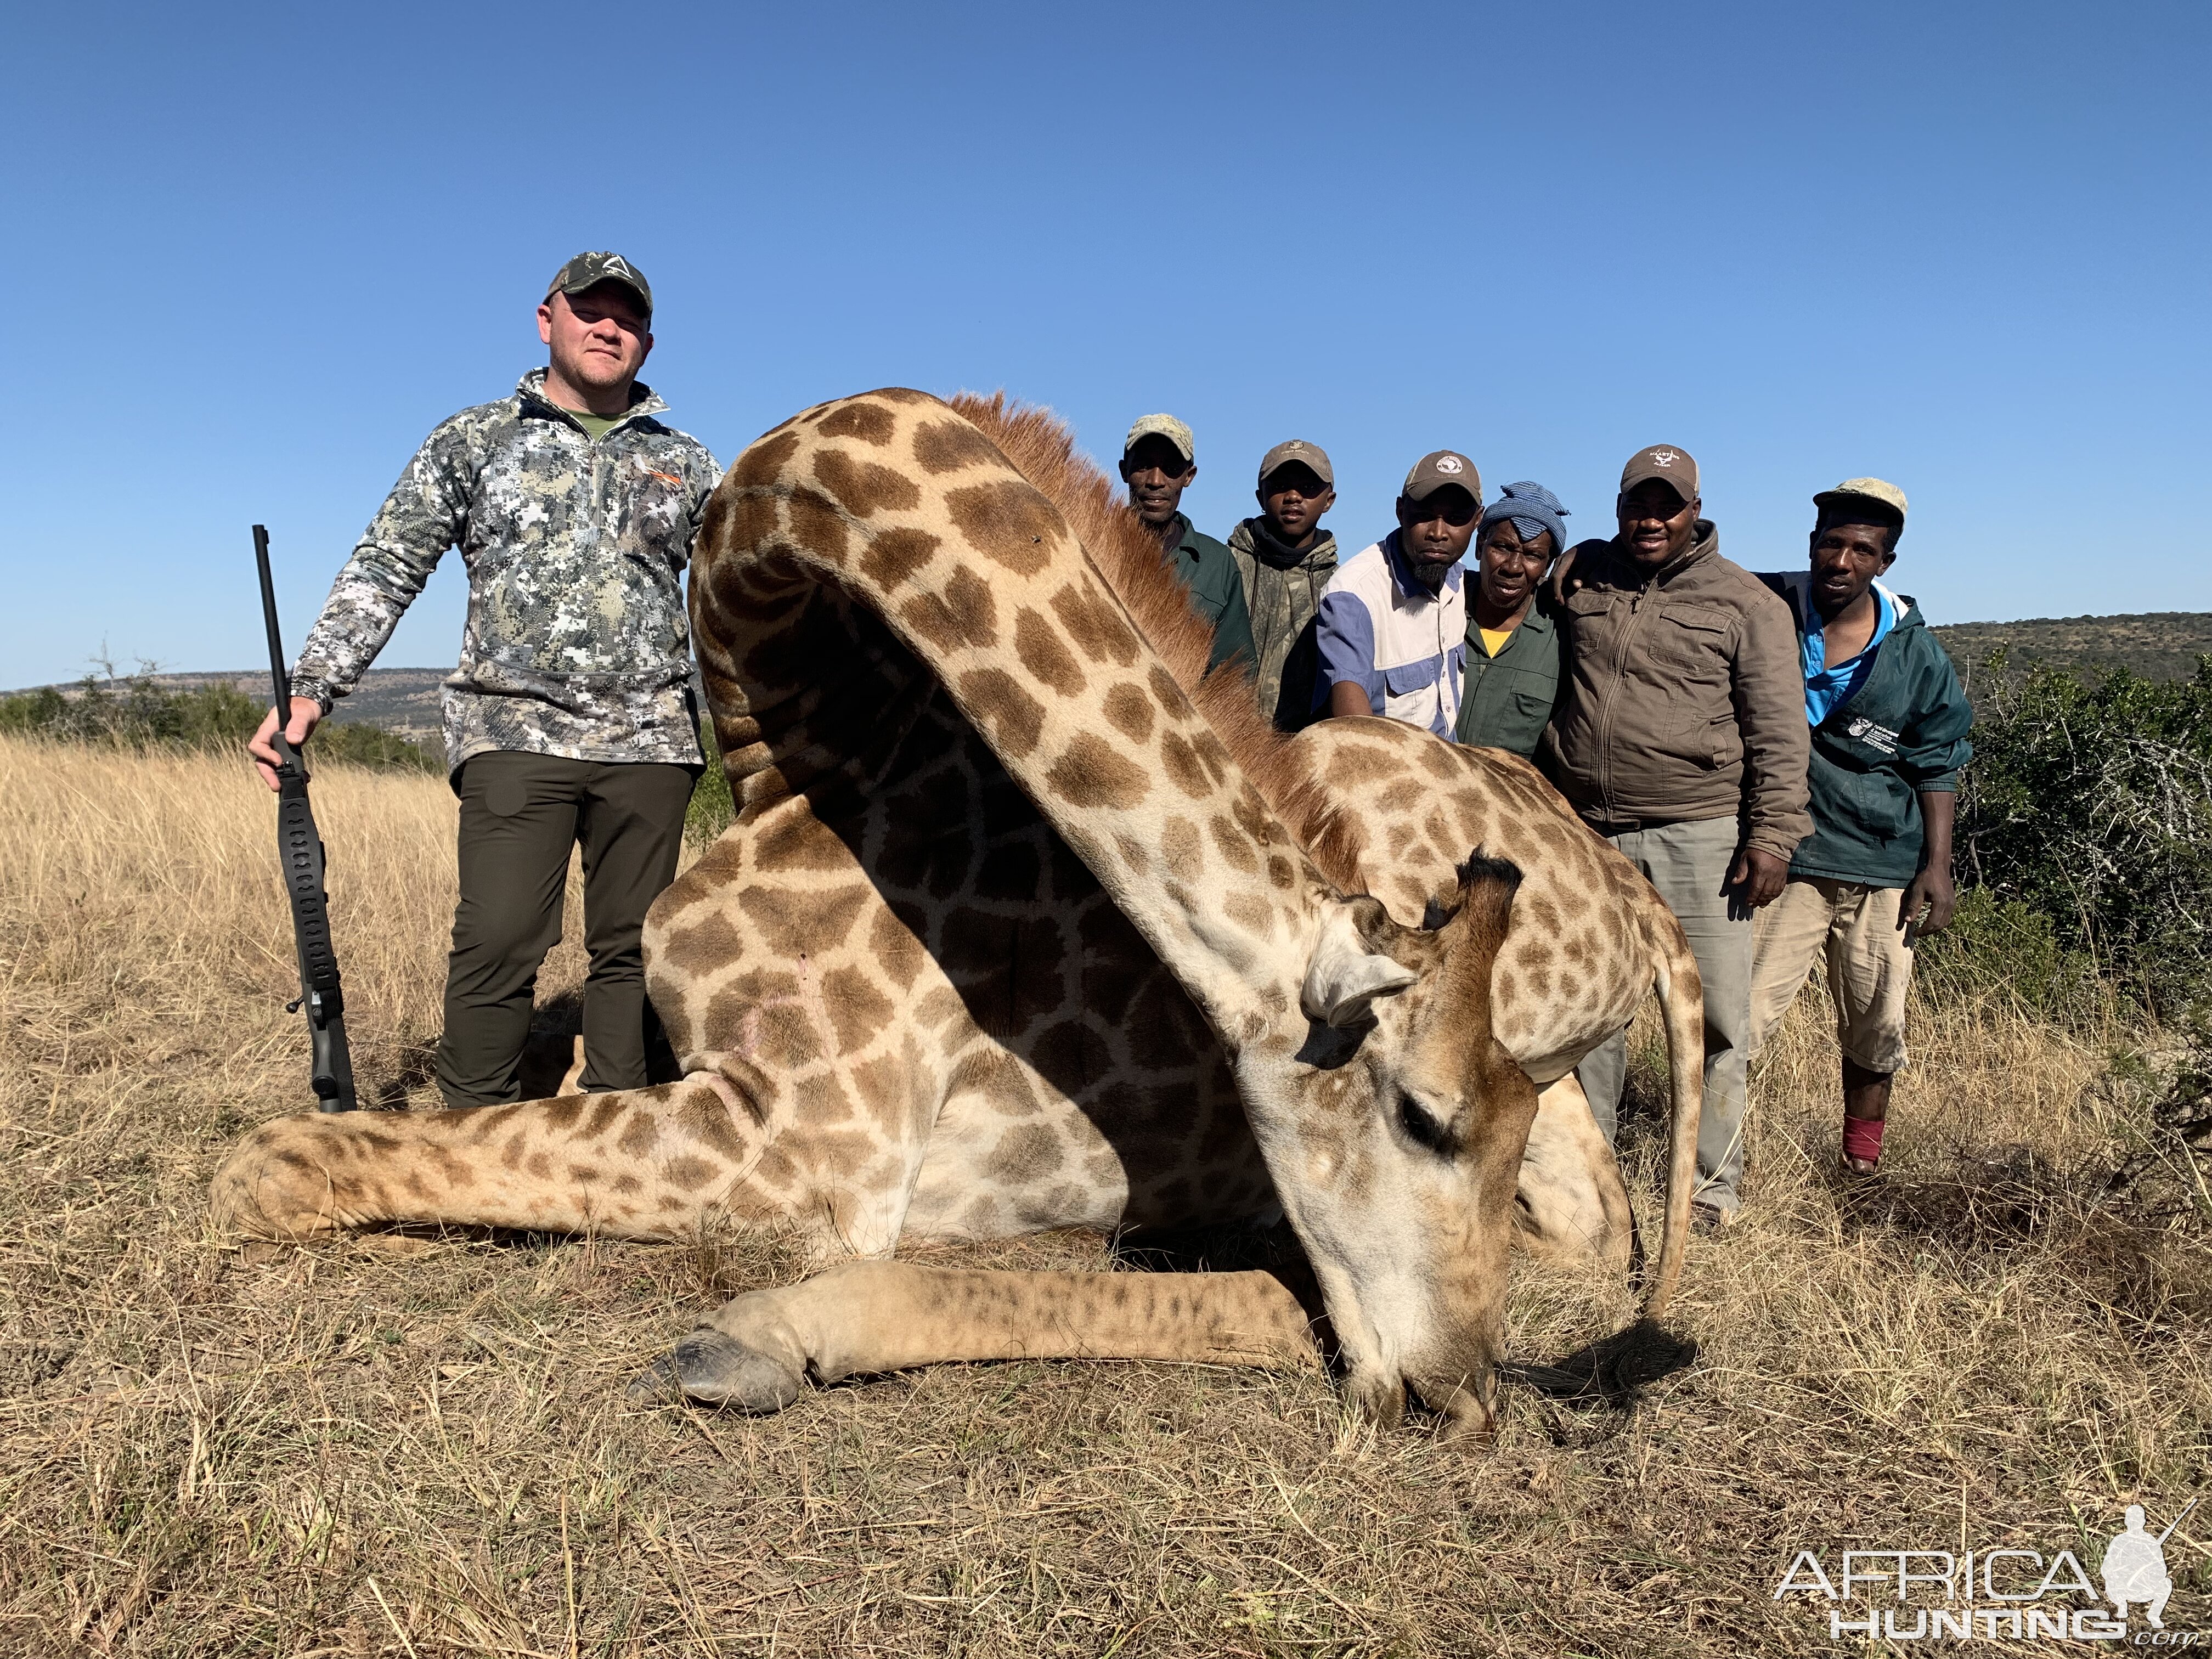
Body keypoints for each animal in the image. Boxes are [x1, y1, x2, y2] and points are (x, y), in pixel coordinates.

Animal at [216, 393, 1699, 1442]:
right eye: (1423, 1121)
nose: (1467, 1399)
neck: (812, 764)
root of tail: (1636, 896)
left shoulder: (807, 1155)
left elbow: (275, 1161)